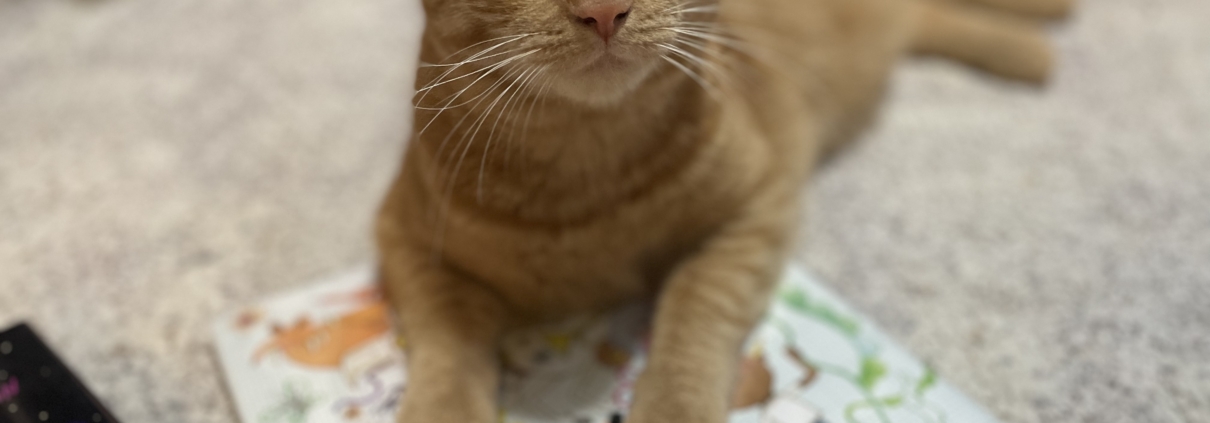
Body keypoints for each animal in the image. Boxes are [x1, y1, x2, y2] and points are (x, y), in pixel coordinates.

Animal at [375, 0, 1069, 420]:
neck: (584, 174)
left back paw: (1034, 43)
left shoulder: (754, 214)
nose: (603, 9)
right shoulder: (404, 243)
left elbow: (691, 320)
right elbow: (448, 350)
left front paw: (671, 406)